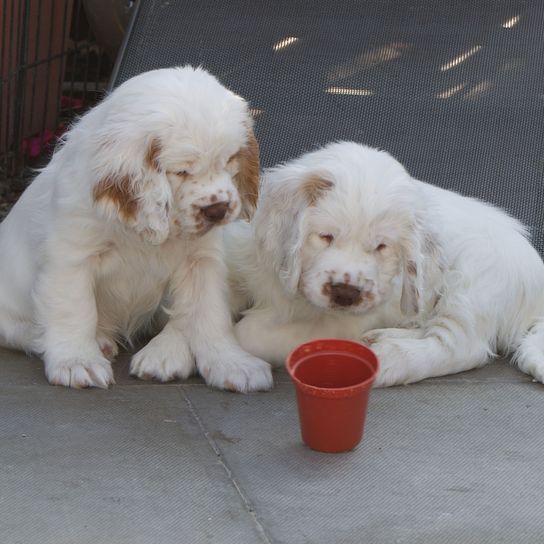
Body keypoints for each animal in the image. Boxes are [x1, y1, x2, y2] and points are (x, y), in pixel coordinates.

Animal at [0, 65, 272, 392]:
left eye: (230, 160)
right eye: (181, 171)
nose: (218, 209)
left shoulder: (200, 262)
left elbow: (208, 312)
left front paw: (232, 363)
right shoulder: (71, 258)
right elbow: (74, 310)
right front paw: (77, 362)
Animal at [227, 141, 544, 386]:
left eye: (382, 247)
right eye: (326, 236)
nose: (345, 293)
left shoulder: (352, 317)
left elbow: (251, 332)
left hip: (473, 281)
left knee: (460, 347)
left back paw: (387, 358)